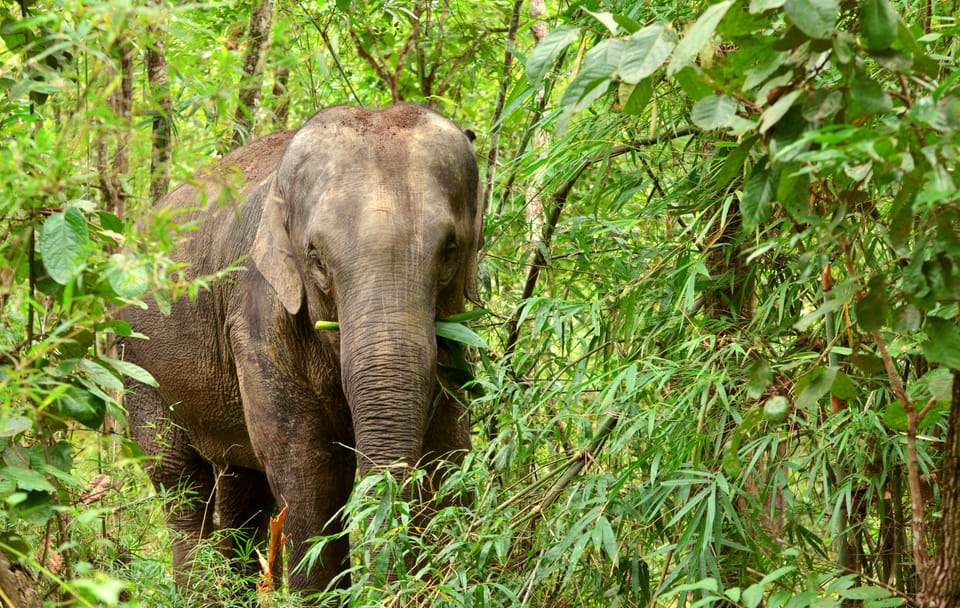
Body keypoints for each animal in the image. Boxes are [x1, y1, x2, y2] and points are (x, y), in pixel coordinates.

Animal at [118, 104, 480, 596]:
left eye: (450, 250)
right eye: (316, 257)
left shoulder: (452, 326)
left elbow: (448, 449)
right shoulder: (257, 319)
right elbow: (307, 467)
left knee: (241, 490)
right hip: (136, 362)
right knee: (178, 480)